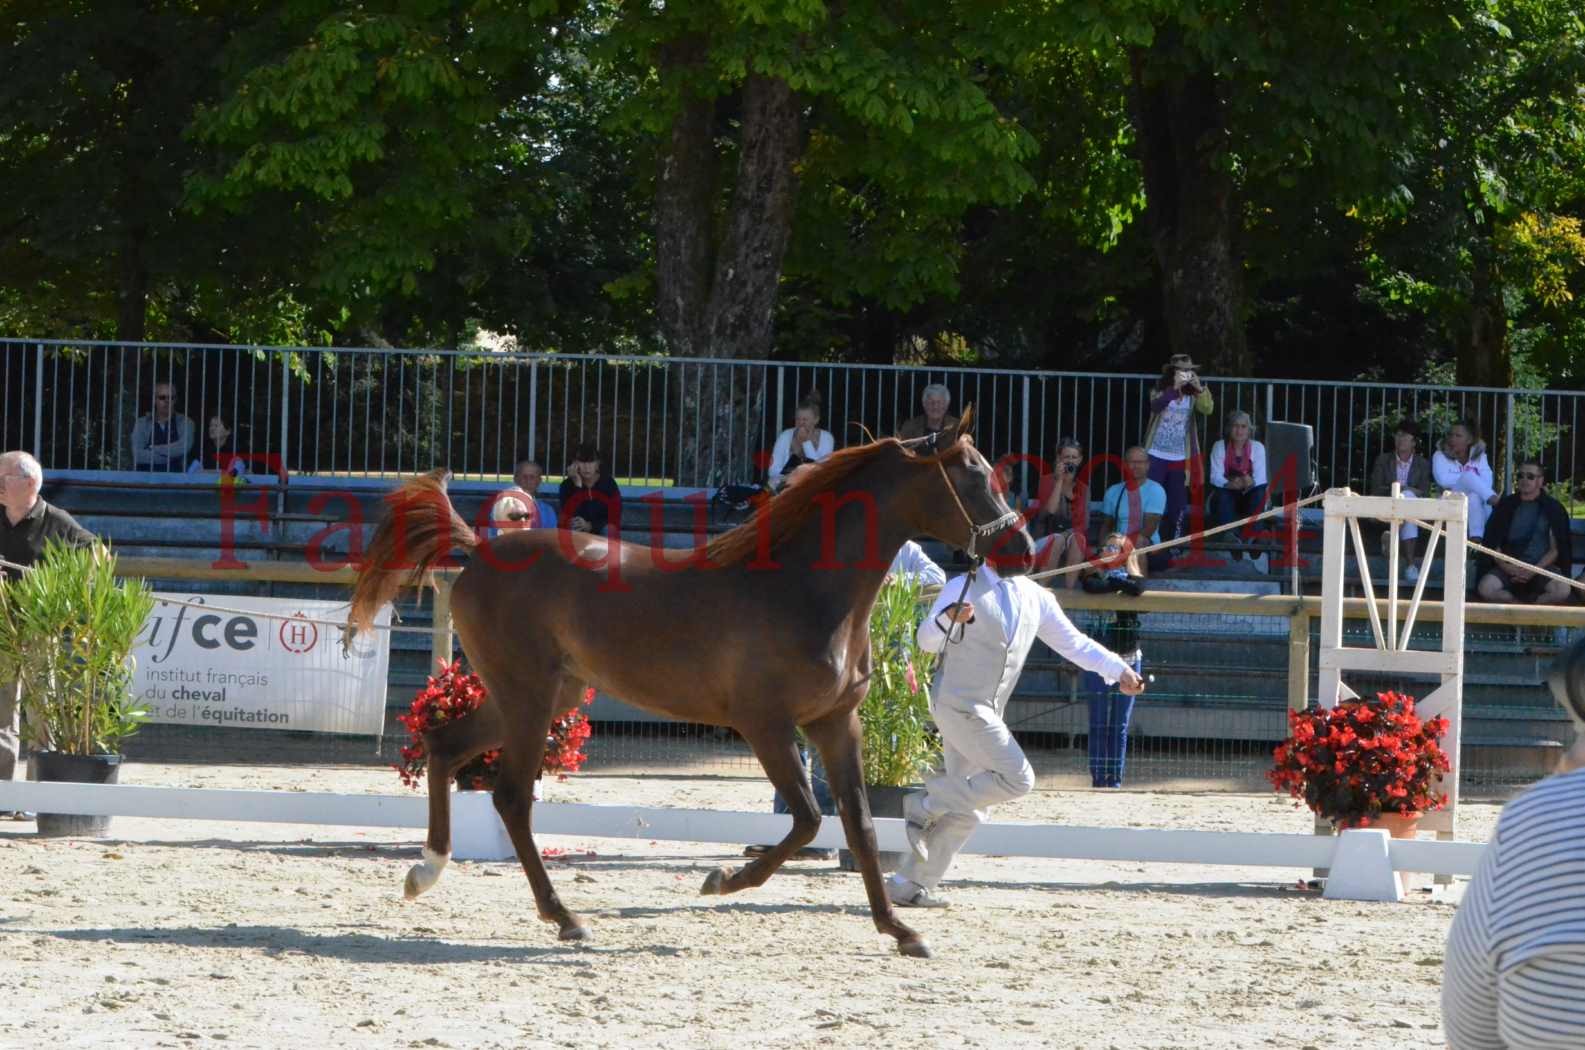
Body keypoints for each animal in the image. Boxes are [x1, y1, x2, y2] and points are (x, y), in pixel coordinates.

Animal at [347, 412, 1033, 964]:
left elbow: (860, 825)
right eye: (975, 476)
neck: (803, 588)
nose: (1022, 548)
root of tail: (480, 553)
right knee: (510, 795)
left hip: (539, 696)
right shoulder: (766, 726)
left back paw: (426, 872)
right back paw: (564, 917)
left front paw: (900, 930)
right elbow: (809, 820)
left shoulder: (836, 723)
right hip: (529, 698)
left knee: (444, 746)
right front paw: (722, 879)